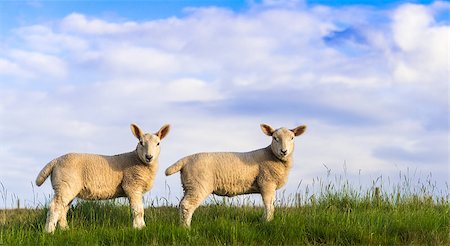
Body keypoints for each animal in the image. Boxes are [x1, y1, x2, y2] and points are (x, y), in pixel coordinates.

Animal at [35, 123, 171, 233]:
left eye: (158, 143)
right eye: (141, 143)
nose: (149, 157)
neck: (137, 159)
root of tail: (55, 161)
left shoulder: (137, 188)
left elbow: (139, 209)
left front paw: (141, 227)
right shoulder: (132, 185)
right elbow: (138, 210)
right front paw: (139, 229)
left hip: (67, 186)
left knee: (63, 209)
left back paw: (65, 230)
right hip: (65, 184)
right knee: (55, 207)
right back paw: (49, 232)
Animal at [164, 123, 306, 227]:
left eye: (292, 138)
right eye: (274, 138)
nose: (284, 151)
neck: (272, 155)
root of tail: (186, 159)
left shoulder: (268, 185)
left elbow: (270, 204)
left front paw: (263, 220)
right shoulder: (266, 182)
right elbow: (269, 205)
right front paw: (268, 222)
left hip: (188, 185)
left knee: (181, 204)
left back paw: (181, 226)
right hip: (198, 185)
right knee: (187, 205)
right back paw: (186, 228)